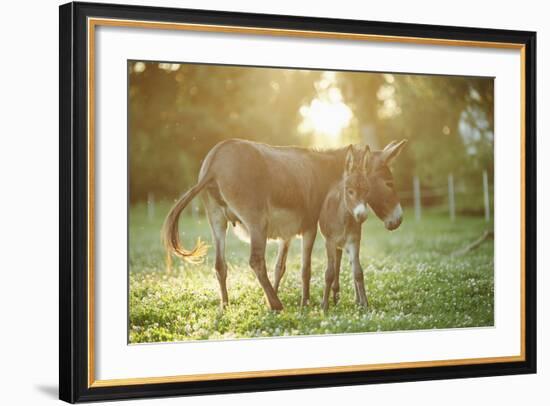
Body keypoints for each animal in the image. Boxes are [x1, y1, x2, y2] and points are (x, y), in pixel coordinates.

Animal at [322, 140, 408, 310]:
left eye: (367, 190)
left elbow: (358, 271)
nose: (398, 220)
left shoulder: (354, 241)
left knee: (347, 263)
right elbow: (329, 272)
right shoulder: (330, 241)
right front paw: (324, 306)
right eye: (389, 184)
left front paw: (364, 304)